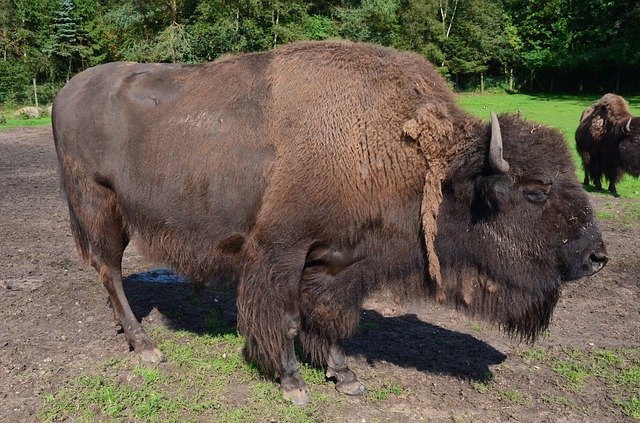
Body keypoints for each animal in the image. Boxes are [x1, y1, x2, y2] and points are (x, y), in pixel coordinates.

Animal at [52, 41, 607, 405]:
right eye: (535, 191)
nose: (596, 256)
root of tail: (66, 91)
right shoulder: (281, 251)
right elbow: (283, 315)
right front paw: (293, 383)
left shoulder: (341, 262)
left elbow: (332, 318)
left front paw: (344, 375)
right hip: (99, 207)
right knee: (110, 271)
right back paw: (146, 347)